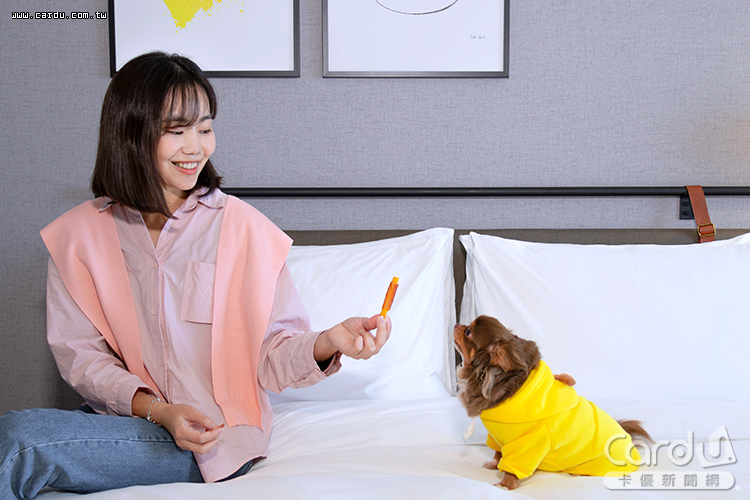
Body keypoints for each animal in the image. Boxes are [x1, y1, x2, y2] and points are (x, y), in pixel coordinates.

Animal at [454, 315, 651, 490]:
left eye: (468, 331)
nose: (456, 324)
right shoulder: (499, 437)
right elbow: (497, 452)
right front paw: (494, 464)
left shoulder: (527, 444)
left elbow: (512, 467)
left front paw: (505, 484)